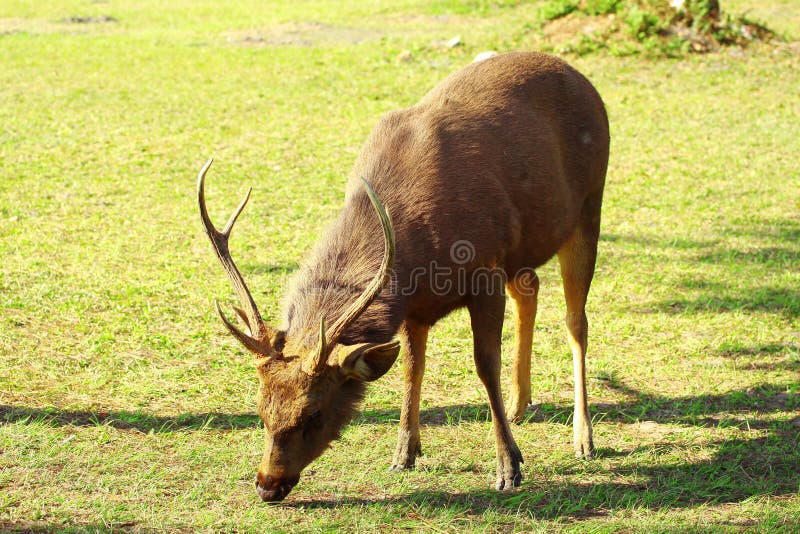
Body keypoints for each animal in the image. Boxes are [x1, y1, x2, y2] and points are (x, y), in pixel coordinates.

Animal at [197, 50, 608, 502]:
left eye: (314, 413)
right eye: (261, 410)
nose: (267, 485)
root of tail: (579, 76)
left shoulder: (484, 270)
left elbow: (485, 365)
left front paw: (509, 466)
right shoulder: (415, 303)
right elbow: (413, 366)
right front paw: (404, 452)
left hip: (589, 204)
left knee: (576, 322)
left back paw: (584, 437)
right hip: (524, 245)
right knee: (530, 289)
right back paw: (520, 404)